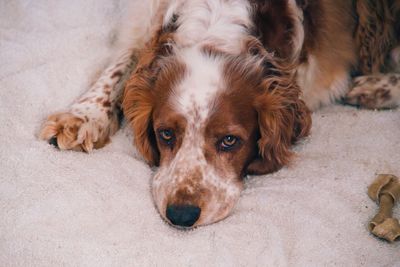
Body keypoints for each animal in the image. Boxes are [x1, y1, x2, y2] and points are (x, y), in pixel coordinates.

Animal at [39, 0, 400, 228]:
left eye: (229, 140)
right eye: (165, 133)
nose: (182, 215)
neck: (216, 27)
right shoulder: (147, 21)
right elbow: (123, 64)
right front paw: (84, 115)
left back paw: (374, 87)